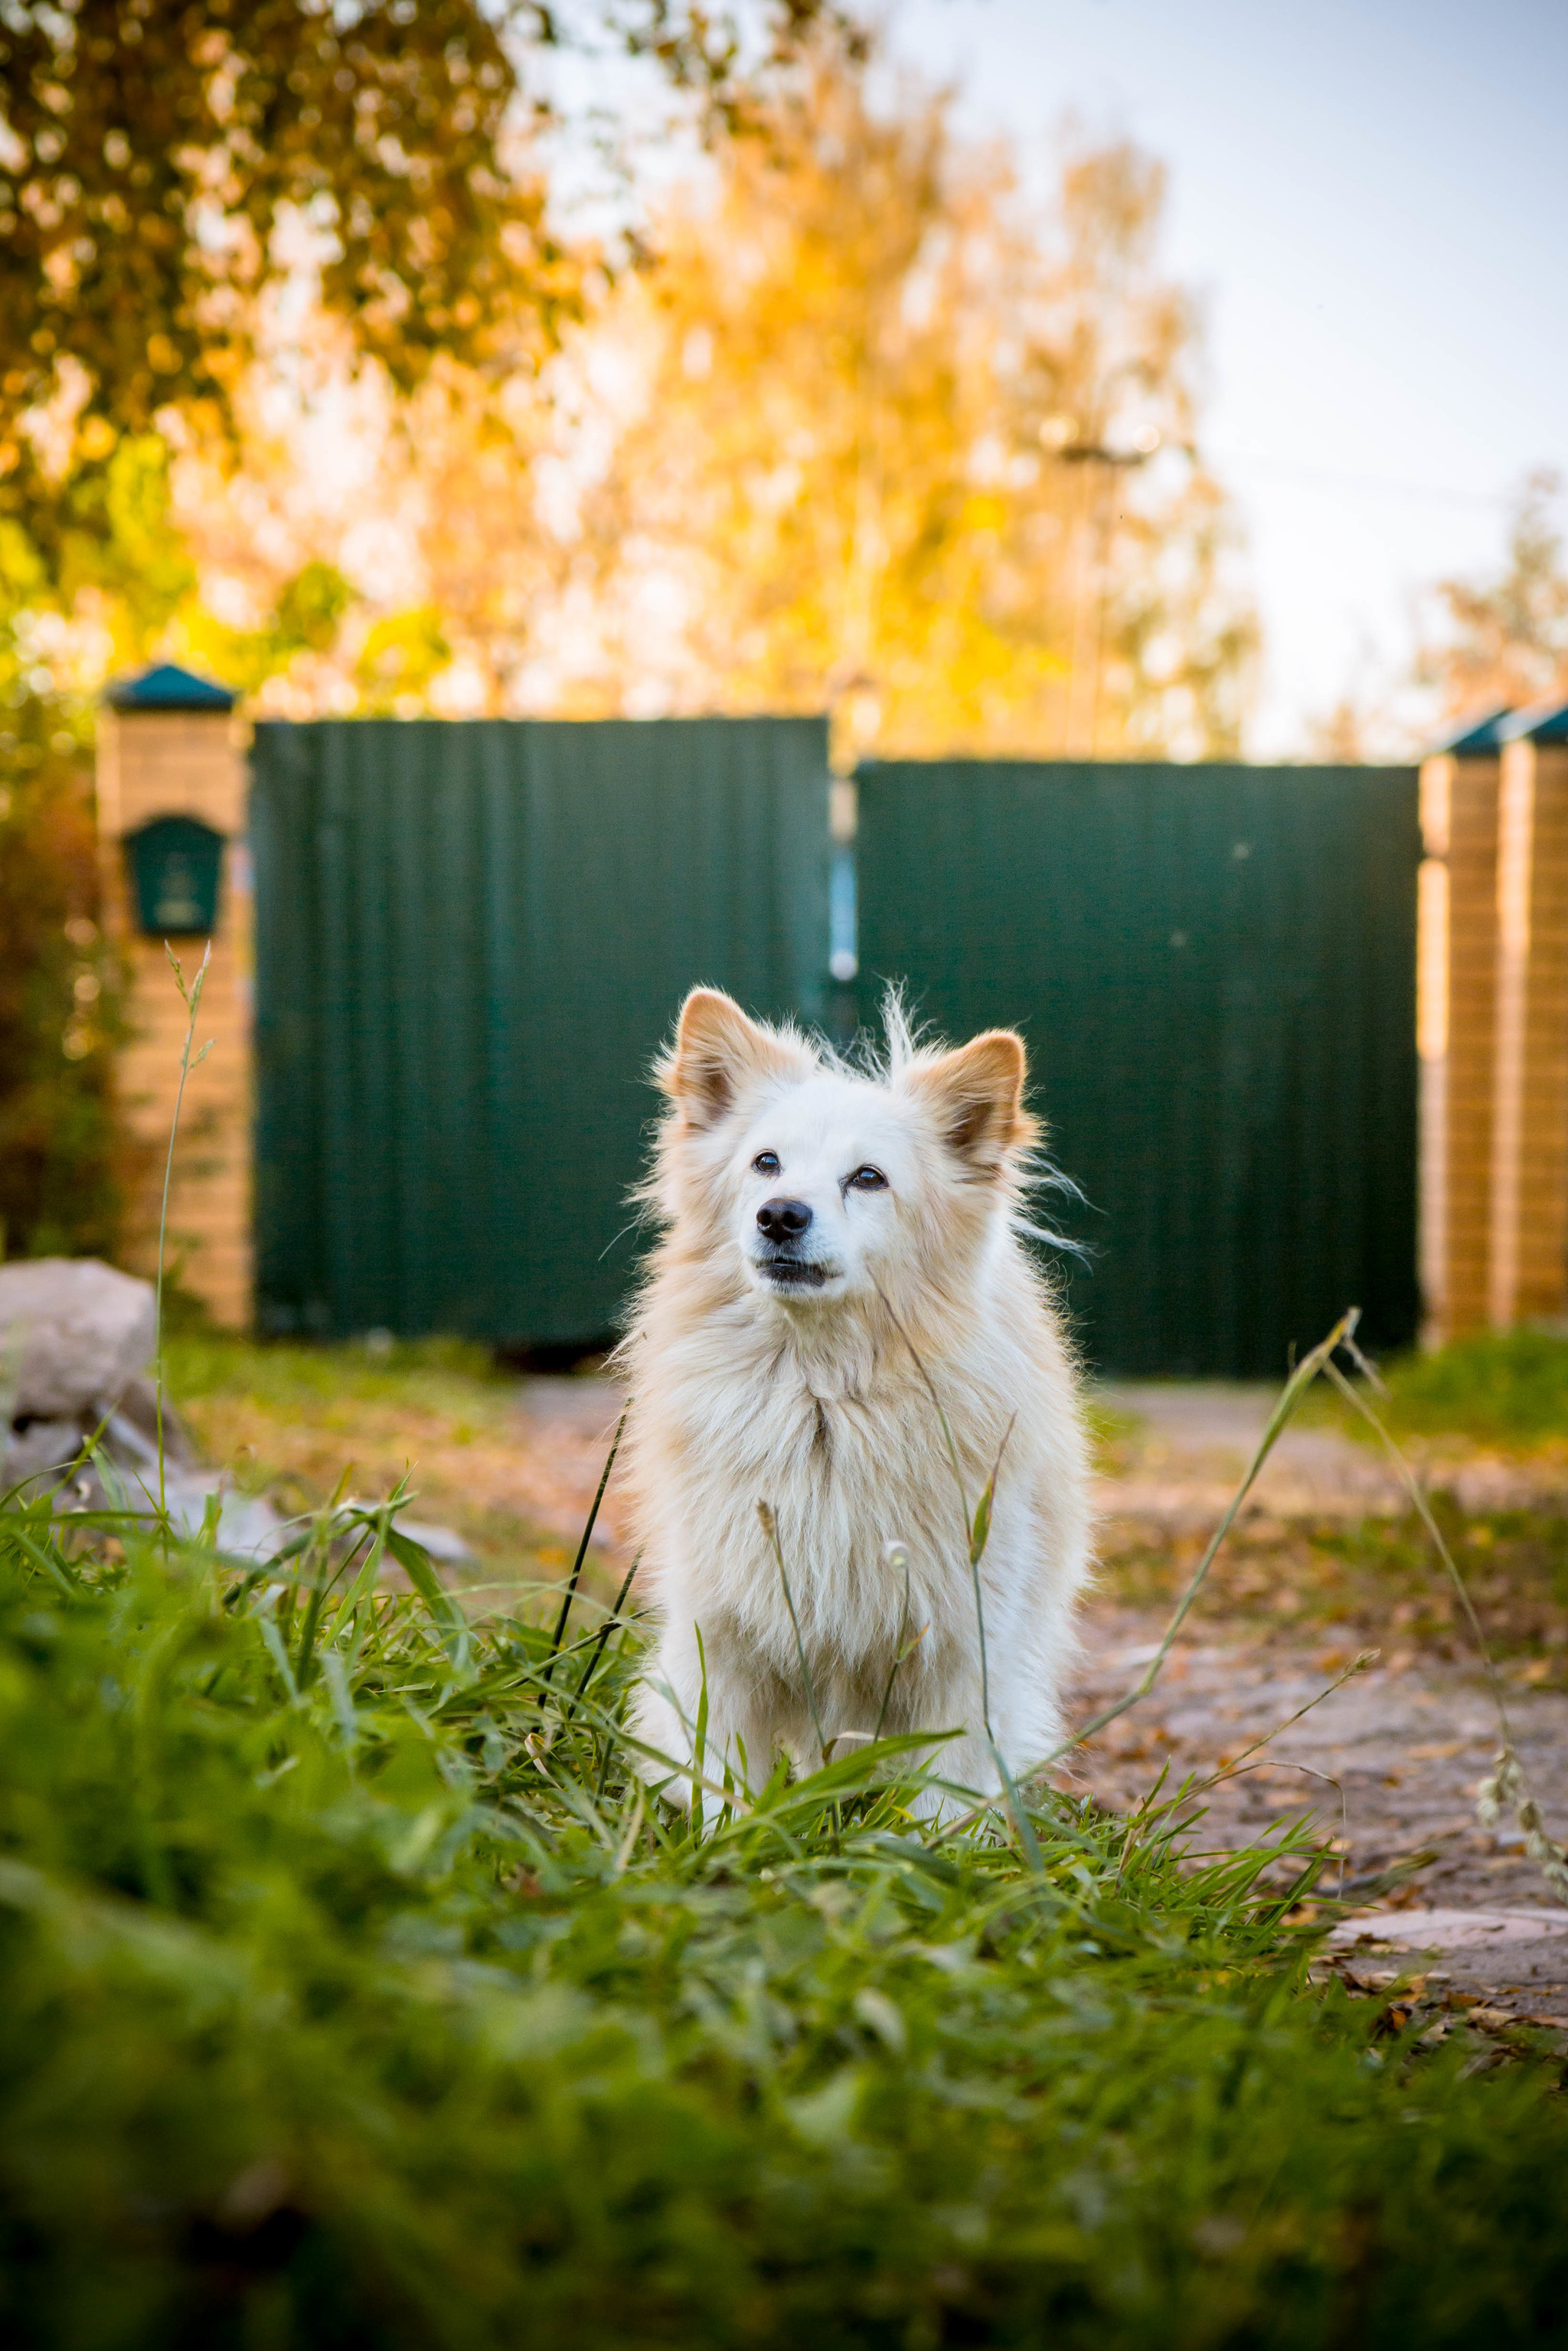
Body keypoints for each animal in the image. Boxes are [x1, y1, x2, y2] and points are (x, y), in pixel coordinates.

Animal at [611, 982, 1090, 1805]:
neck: (822, 1399)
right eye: (765, 1163)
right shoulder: (721, 1650)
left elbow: (940, 1808)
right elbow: (725, 1794)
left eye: (868, 1178)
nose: (780, 1214)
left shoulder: (963, 1666)